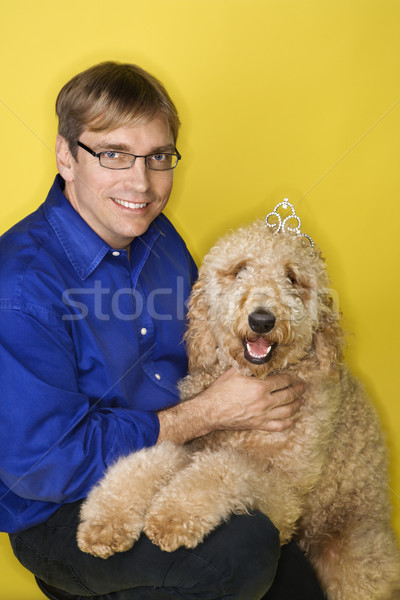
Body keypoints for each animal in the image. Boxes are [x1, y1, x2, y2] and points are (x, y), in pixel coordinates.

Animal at [77, 203, 400, 600]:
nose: (262, 320)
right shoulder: (194, 439)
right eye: (239, 269)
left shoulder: (282, 492)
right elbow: (152, 458)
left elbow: (223, 470)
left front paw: (171, 515)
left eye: (293, 278)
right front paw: (106, 519)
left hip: (353, 556)